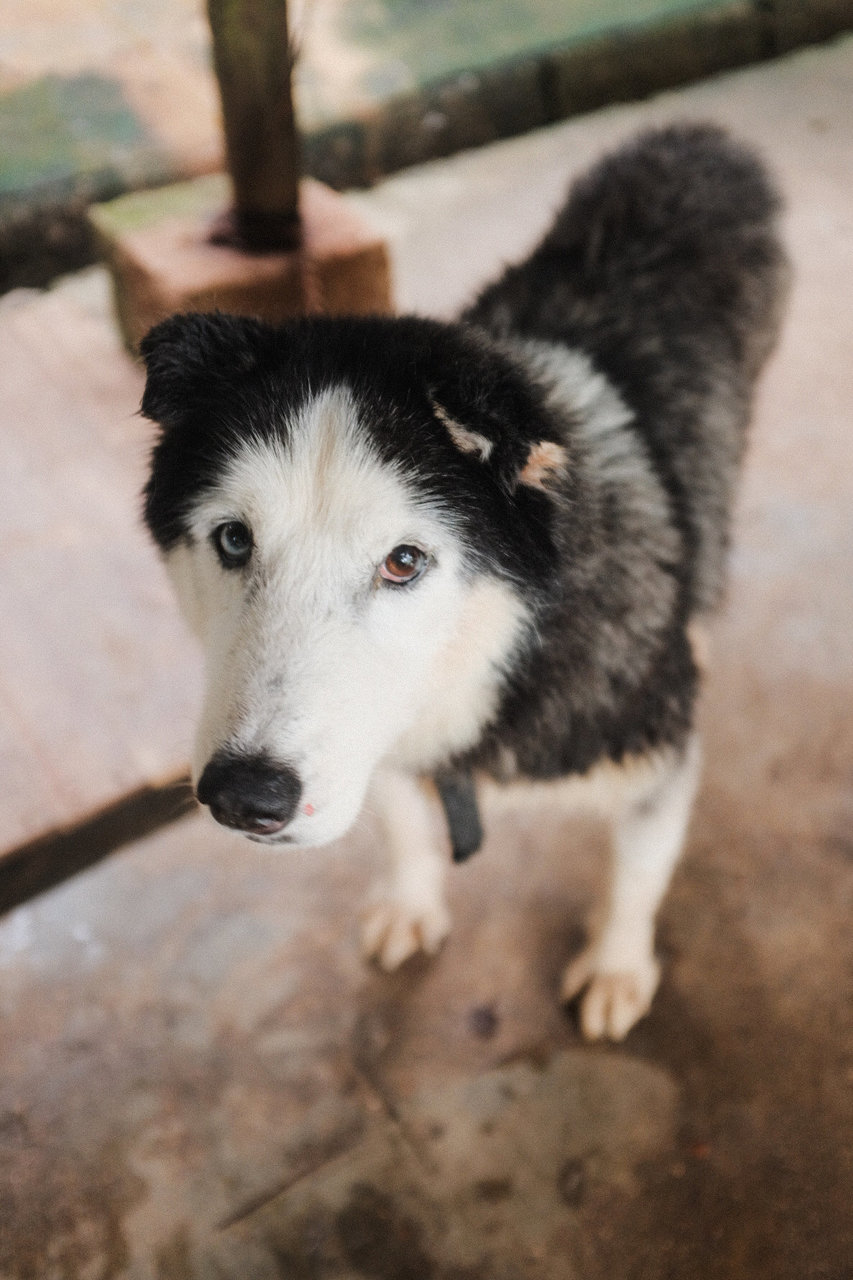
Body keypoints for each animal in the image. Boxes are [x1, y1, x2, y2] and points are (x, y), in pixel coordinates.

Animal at [137, 120, 783, 1039]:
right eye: (233, 539)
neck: (501, 661)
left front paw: (617, 963)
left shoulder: (654, 753)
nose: (243, 796)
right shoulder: (385, 746)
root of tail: (693, 136)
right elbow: (405, 826)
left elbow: (637, 873)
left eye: (403, 562)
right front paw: (413, 902)